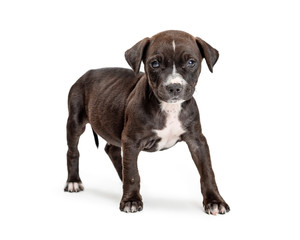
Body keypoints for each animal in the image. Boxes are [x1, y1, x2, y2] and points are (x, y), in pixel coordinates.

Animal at [65, 30, 230, 216]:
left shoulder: (197, 140)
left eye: (191, 62)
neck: (169, 108)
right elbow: (132, 175)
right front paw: (131, 200)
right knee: (73, 151)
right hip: (75, 120)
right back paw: (73, 181)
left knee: (112, 150)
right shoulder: (131, 140)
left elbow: (207, 171)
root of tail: (86, 73)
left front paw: (215, 201)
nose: (174, 87)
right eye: (155, 63)